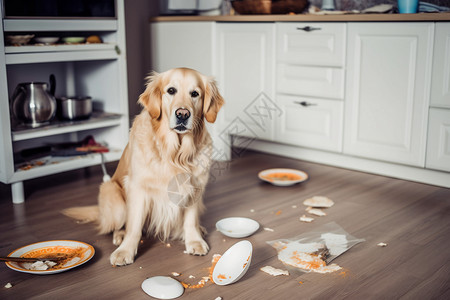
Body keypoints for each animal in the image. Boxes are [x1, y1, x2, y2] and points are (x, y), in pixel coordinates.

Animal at [62, 68, 224, 264]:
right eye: (171, 91)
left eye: (195, 94)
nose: (183, 114)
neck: (175, 154)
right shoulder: (138, 188)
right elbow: (134, 225)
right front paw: (126, 251)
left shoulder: (195, 188)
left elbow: (190, 220)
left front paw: (194, 241)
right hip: (113, 195)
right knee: (119, 224)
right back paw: (120, 236)